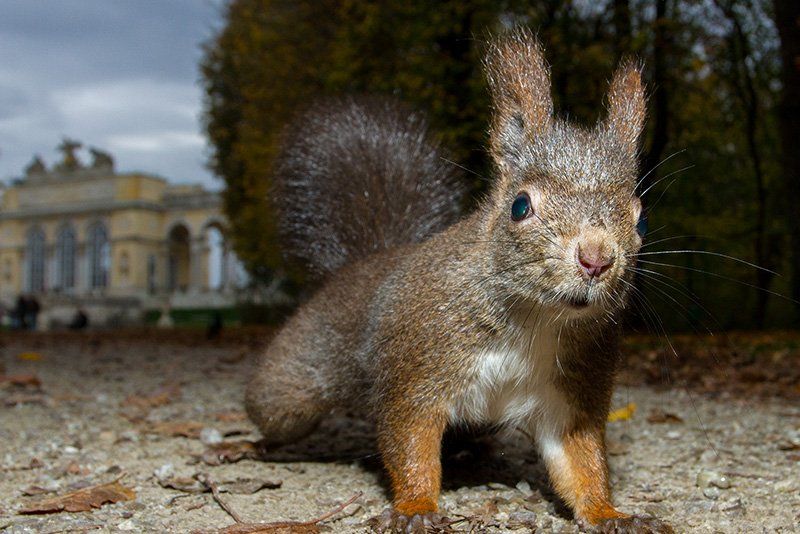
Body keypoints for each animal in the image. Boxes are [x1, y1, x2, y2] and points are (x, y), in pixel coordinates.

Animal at [246, 30, 674, 534]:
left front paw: (610, 513)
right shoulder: (416, 368)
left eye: (641, 220)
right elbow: (410, 441)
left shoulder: (574, 389)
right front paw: (416, 507)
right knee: (276, 414)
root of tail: (367, 261)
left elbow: (581, 459)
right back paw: (245, 445)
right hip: (292, 385)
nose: (596, 258)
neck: (533, 320)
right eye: (520, 206)